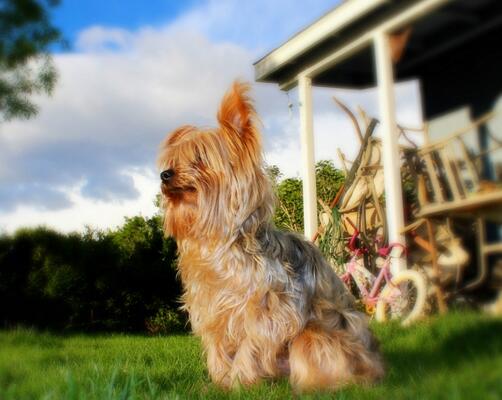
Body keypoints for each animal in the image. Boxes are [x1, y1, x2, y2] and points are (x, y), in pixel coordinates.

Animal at [158, 82, 384, 391]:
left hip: (316, 335)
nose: (164, 175)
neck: (219, 243)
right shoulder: (211, 308)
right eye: (172, 162)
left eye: (200, 159)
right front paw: (220, 383)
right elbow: (217, 346)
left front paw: (239, 381)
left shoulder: (268, 310)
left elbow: (250, 345)